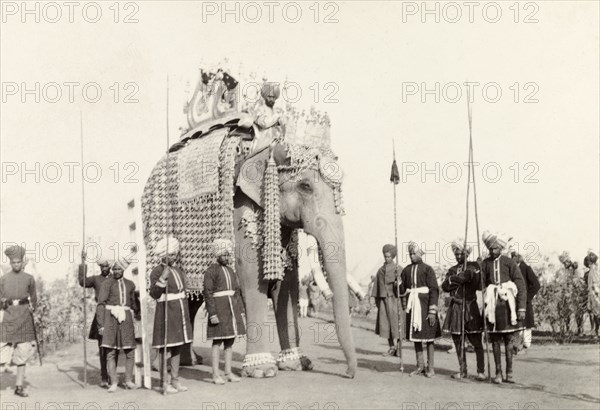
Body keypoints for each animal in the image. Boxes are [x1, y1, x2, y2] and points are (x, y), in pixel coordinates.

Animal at [141, 120, 356, 380]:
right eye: (305, 186)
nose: (348, 373)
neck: (266, 150)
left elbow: (287, 286)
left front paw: (296, 364)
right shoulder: (241, 212)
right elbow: (253, 282)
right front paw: (262, 370)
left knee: (191, 298)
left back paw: (188, 361)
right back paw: (159, 366)